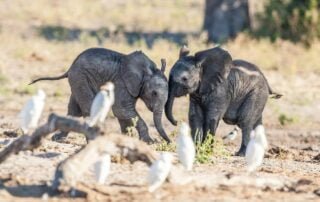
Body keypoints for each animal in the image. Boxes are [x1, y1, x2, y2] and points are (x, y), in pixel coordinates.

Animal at [29, 47, 170, 143]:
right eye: (154, 93)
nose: (168, 142)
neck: (148, 70)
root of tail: (70, 68)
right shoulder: (121, 83)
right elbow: (121, 110)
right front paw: (150, 142)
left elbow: (123, 114)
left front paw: (126, 140)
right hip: (80, 78)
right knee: (88, 107)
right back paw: (91, 140)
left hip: (78, 81)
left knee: (74, 110)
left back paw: (58, 138)